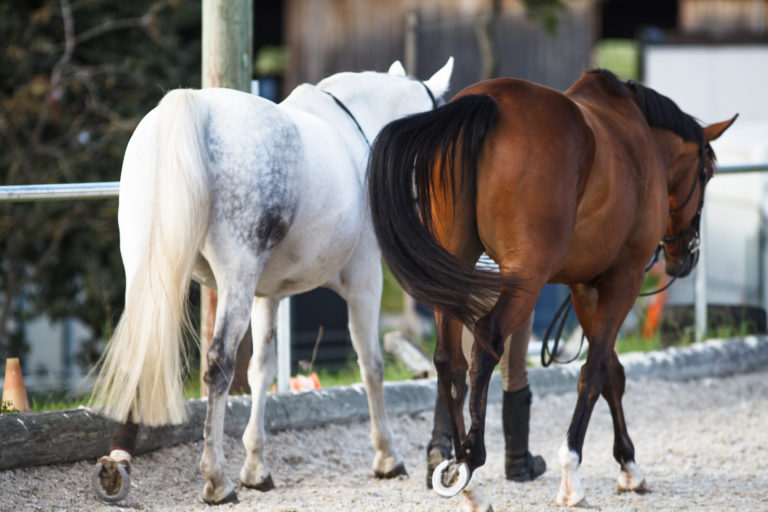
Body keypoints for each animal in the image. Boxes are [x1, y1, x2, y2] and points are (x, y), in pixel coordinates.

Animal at [88, 57, 454, 505]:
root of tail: (194, 107)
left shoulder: (269, 295)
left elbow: (261, 370)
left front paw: (256, 467)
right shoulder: (364, 281)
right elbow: (371, 364)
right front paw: (388, 457)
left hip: (147, 268)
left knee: (141, 350)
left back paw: (118, 463)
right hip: (236, 275)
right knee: (218, 363)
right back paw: (216, 479)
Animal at [368, 68, 736, 507]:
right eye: (706, 174)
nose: (686, 256)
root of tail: (487, 102)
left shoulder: (583, 286)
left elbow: (612, 373)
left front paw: (629, 466)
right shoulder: (623, 278)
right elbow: (594, 373)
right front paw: (573, 474)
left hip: (451, 267)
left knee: (448, 361)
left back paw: (466, 482)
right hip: (525, 276)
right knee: (486, 345)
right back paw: (473, 458)